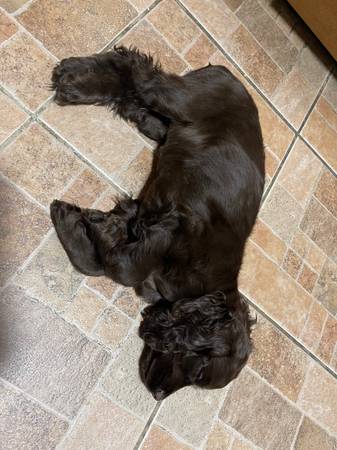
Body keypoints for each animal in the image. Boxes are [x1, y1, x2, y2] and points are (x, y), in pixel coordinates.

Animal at [50, 46, 264, 400]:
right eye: (199, 369)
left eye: (197, 380)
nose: (158, 395)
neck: (209, 288)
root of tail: (228, 73)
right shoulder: (176, 224)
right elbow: (122, 268)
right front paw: (87, 226)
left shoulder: (142, 215)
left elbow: (101, 259)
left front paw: (81, 222)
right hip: (181, 99)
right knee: (135, 67)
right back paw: (72, 78)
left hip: (167, 127)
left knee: (133, 98)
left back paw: (75, 83)